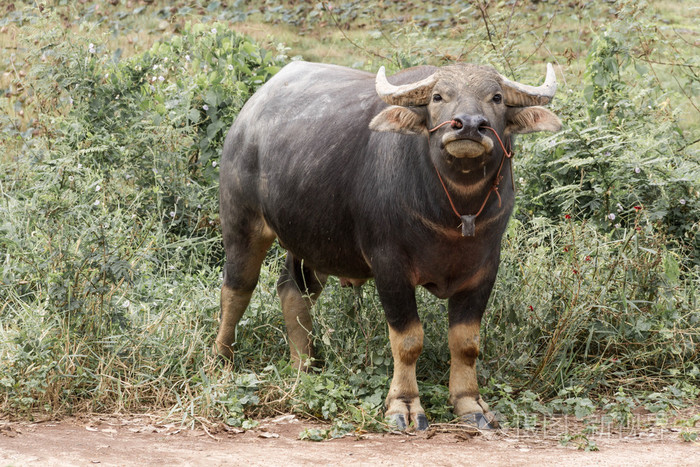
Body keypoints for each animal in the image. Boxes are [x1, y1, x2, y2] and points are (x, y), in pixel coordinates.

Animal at [216, 60, 560, 430]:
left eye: (496, 97)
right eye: (438, 96)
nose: (468, 125)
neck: (453, 210)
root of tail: (248, 115)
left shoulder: (484, 269)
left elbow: (466, 343)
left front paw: (470, 404)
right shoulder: (390, 266)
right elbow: (408, 340)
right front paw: (404, 405)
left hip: (314, 242)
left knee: (294, 291)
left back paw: (303, 366)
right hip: (242, 224)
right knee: (237, 291)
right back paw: (221, 360)